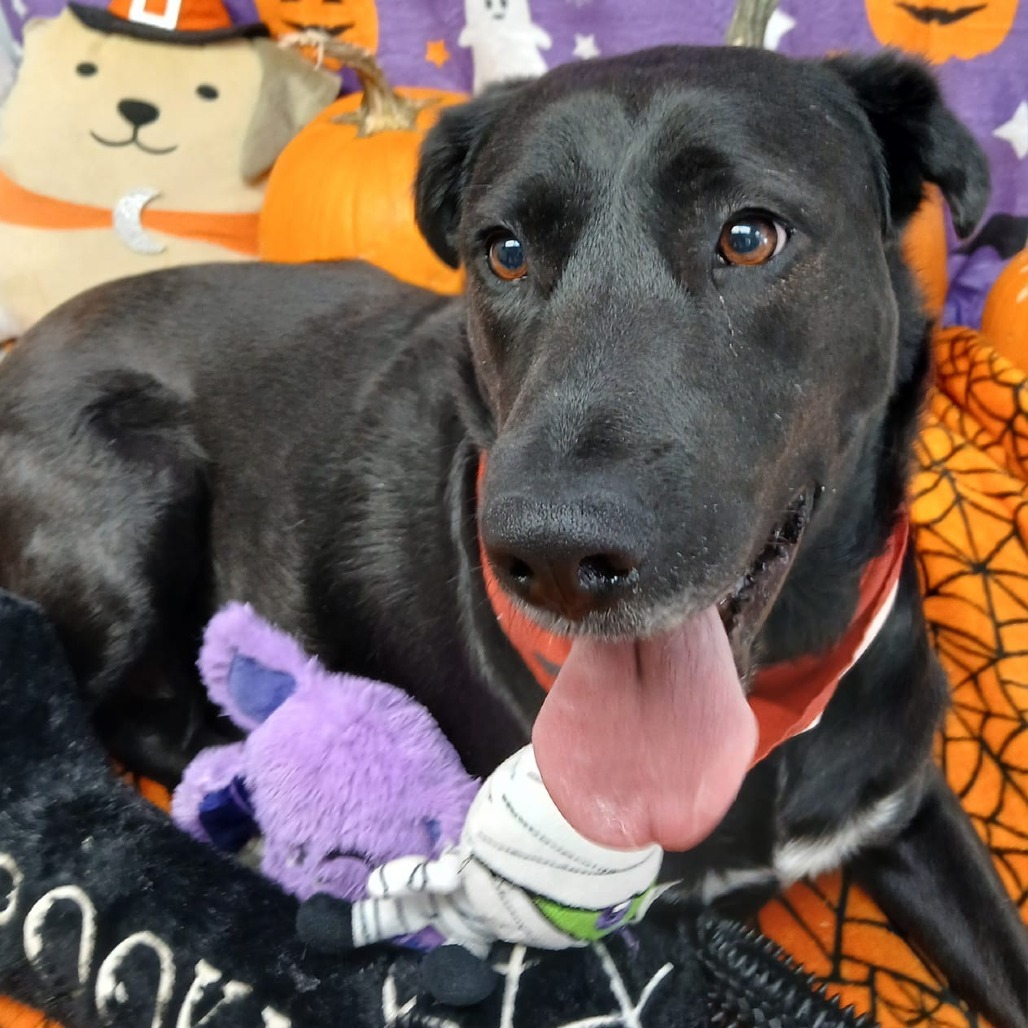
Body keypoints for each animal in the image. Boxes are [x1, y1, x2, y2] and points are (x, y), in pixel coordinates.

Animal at [0, 44, 1023, 1023]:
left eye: (749, 235)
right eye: (504, 251)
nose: (557, 558)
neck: (773, 708)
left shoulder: (911, 805)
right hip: (132, 493)